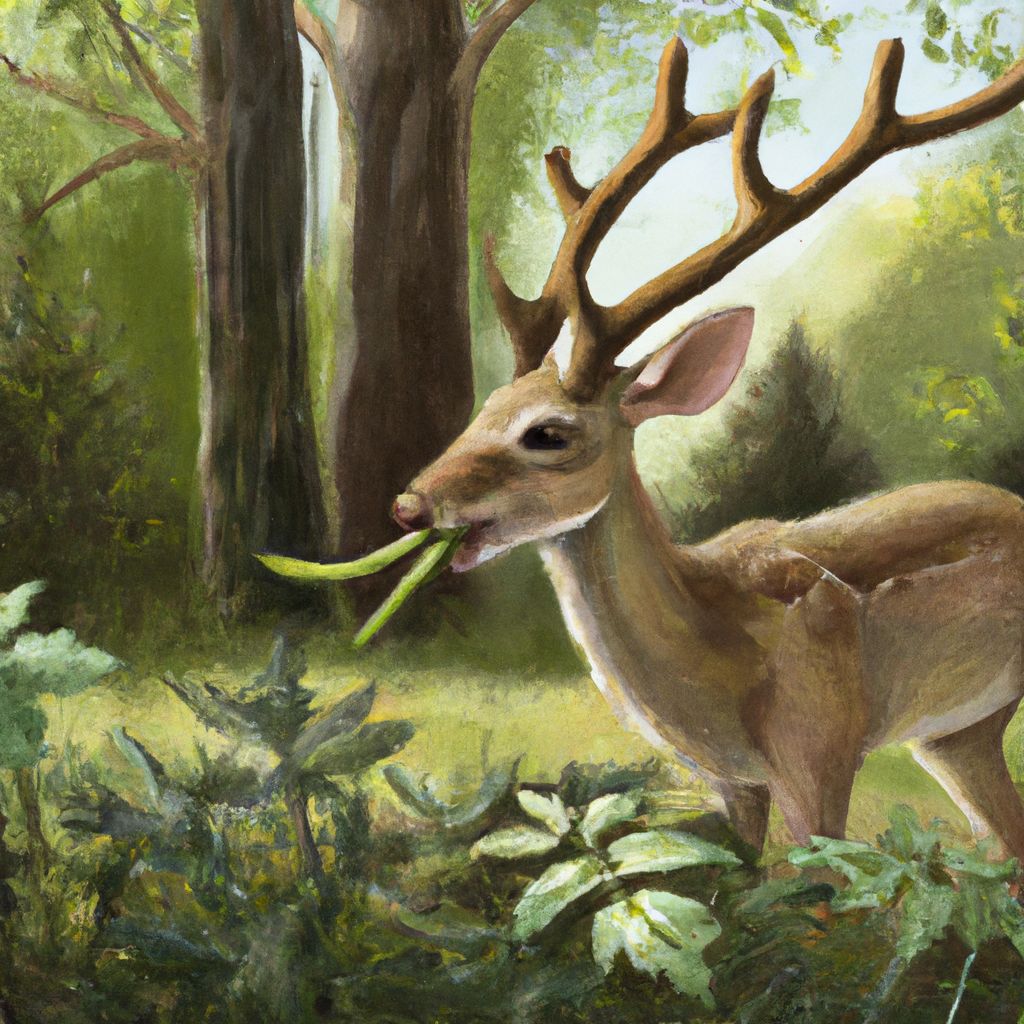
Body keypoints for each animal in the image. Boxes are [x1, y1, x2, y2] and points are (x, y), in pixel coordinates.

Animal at [391, 37, 1024, 858]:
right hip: (956, 732)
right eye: (484, 408)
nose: (409, 504)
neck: (716, 662)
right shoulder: (731, 781)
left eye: (548, 434)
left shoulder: (820, 747)